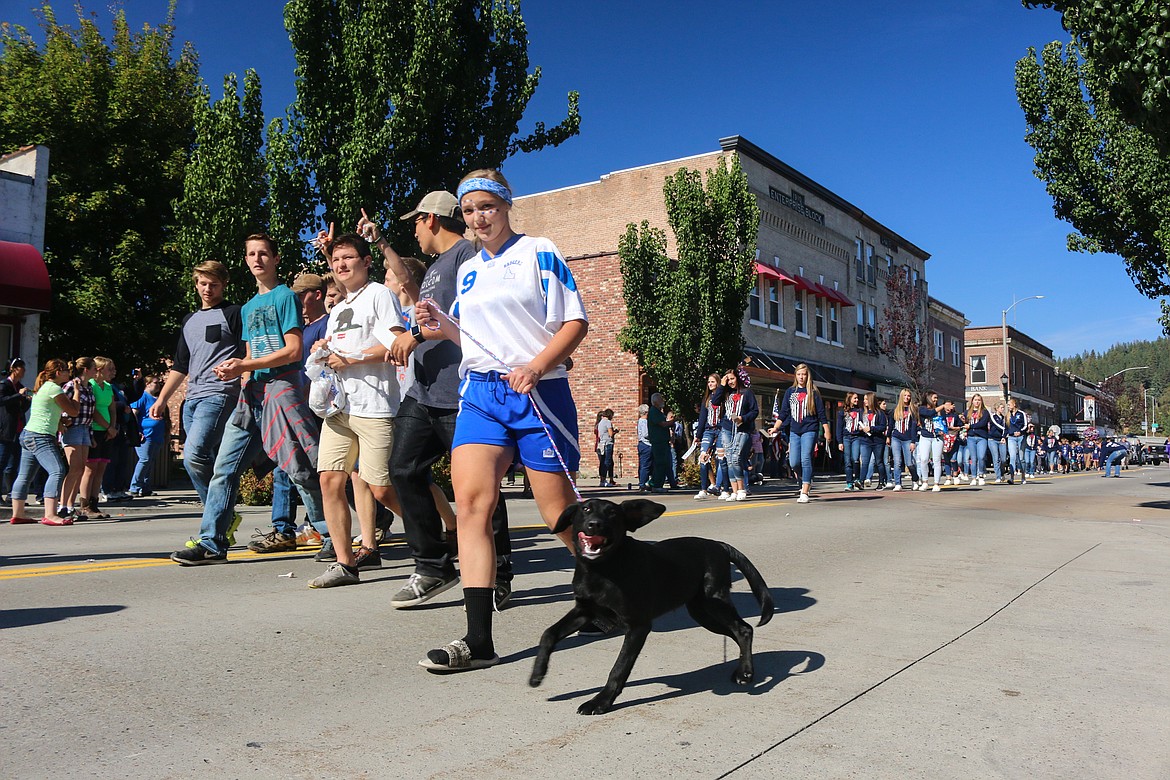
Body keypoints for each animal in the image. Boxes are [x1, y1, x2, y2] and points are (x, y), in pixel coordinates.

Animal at [528, 500, 767, 715]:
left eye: (613, 513)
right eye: (586, 509)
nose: (595, 524)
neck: (602, 569)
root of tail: (718, 545)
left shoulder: (638, 626)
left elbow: (619, 668)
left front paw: (601, 702)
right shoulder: (584, 611)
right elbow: (549, 633)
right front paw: (538, 673)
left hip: (713, 603)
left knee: (744, 629)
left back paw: (745, 672)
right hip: (702, 612)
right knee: (736, 631)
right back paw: (742, 667)